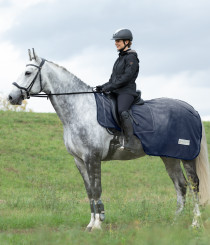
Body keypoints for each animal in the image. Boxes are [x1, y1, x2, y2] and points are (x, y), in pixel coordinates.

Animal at [8, 50, 210, 232]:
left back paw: (195, 223)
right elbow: (89, 191)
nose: (11, 97)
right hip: (169, 157)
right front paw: (90, 224)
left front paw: (98, 224)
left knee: (194, 185)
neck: (81, 109)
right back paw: (175, 223)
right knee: (181, 185)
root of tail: (192, 110)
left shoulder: (92, 157)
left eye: (28, 72)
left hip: (187, 157)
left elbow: (96, 189)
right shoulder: (79, 160)